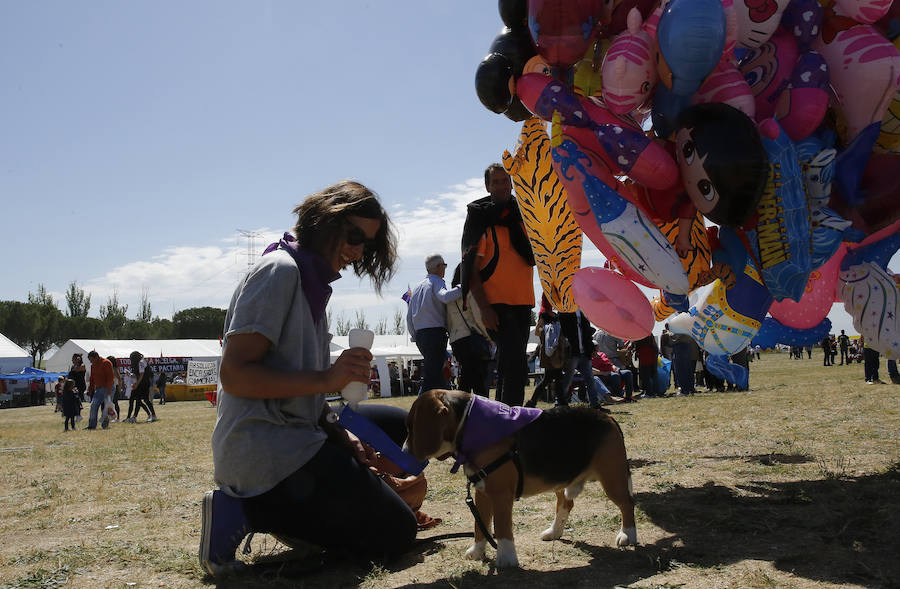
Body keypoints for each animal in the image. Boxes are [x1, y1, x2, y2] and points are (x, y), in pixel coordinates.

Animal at [404, 388, 636, 568]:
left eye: (411, 426)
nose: (404, 451)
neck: (470, 425)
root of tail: (607, 417)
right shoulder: (482, 493)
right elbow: (480, 526)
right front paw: (477, 552)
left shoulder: (501, 496)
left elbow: (501, 528)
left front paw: (506, 559)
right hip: (562, 481)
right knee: (566, 504)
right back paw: (554, 532)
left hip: (612, 479)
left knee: (627, 504)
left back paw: (628, 535)